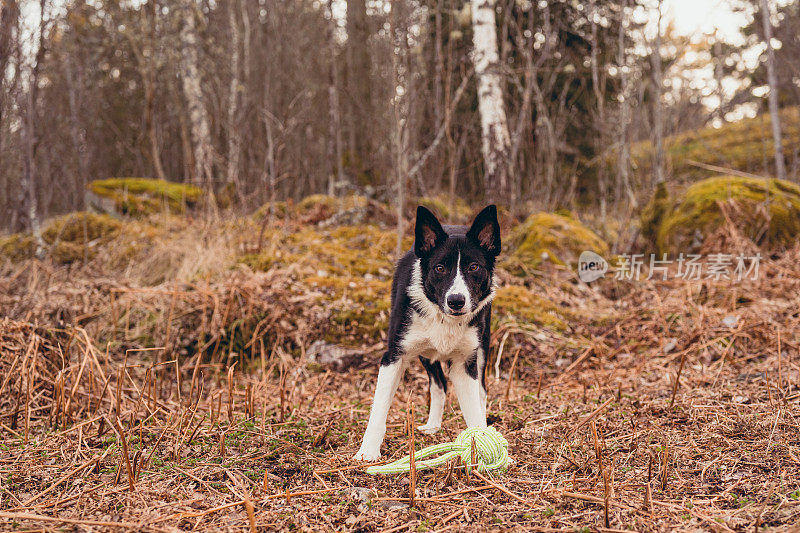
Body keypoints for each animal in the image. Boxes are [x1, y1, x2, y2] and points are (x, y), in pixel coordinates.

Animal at [352, 206, 496, 460]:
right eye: (440, 268)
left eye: (474, 267)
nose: (456, 301)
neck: (443, 317)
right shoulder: (394, 357)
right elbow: (379, 407)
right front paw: (368, 451)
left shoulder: (464, 365)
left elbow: (474, 412)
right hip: (425, 353)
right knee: (439, 384)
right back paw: (433, 425)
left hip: (481, 348)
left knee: (481, 391)